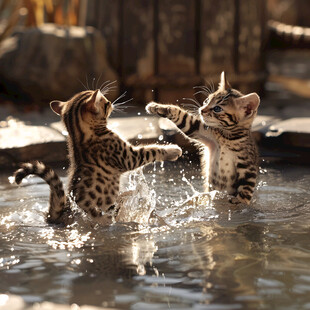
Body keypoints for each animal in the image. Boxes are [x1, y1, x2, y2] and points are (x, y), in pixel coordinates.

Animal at [13, 88, 182, 224]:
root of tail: (60, 215)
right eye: (105, 102)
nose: (112, 102)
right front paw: (173, 151)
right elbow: (151, 150)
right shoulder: (128, 157)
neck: (79, 135)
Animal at [147, 71, 260, 205]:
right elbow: (183, 118)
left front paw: (239, 201)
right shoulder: (200, 131)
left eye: (217, 108)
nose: (201, 110)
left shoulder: (247, 165)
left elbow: (246, 189)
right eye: (207, 100)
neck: (227, 137)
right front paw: (157, 107)